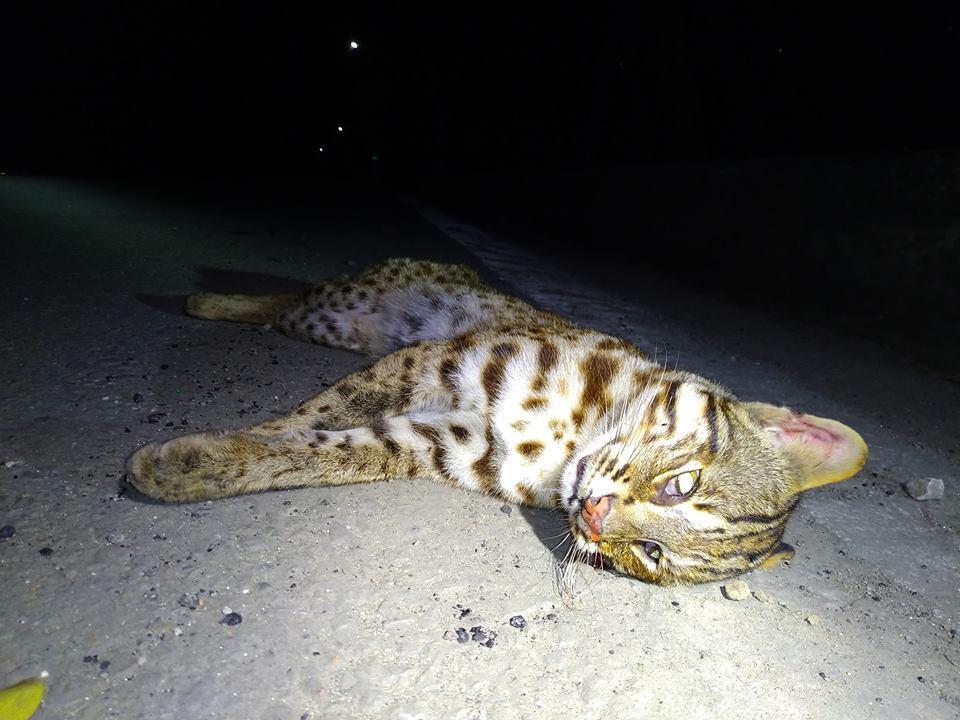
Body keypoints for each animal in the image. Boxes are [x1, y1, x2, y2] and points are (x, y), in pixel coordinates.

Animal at [126, 257, 867, 584]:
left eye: (649, 557)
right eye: (679, 486)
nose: (593, 518)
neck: (571, 443)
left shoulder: (441, 439)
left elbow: (333, 451)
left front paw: (192, 465)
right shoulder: (434, 363)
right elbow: (313, 417)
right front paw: (206, 455)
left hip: (345, 327)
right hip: (344, 304)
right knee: (286, 299)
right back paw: (206, 299)